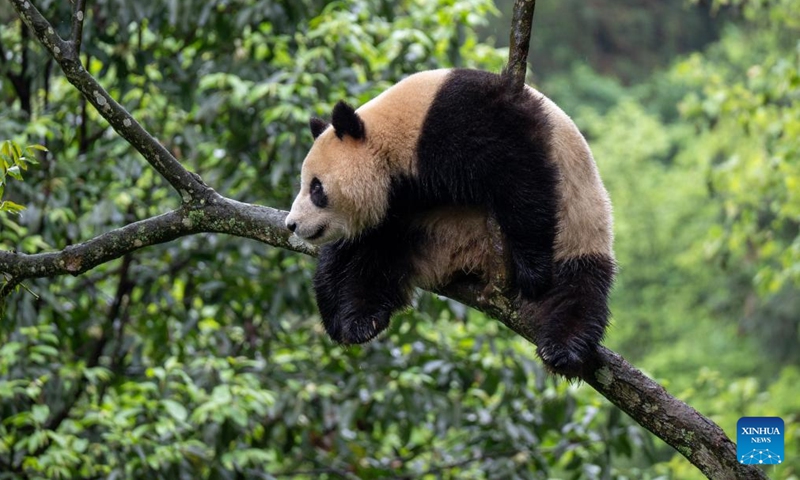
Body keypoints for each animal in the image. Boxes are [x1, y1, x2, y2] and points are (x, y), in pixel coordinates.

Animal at [284, 67, 616, 376]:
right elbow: (354, 246)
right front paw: (337, 313)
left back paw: (562, 349)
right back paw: (362, 320)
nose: (292, 224)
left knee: (577, 292)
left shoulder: (469, 119)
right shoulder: (401, 199)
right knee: (379, 260)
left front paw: (532, 272)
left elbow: (521, 176)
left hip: (580, 231)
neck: (396, 135)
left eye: (316, 188)